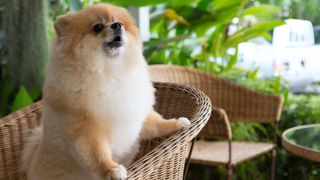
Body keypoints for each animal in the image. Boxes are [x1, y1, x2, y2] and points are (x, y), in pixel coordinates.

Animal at [20, 3, 190, 180]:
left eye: (120, 22)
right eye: (98, 27)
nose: (117, 25)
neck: (110, 72)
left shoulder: (137, 114)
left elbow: (157, 123)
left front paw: (177, 123)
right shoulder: (88, 131)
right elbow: (98, 154)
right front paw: (112, 170)